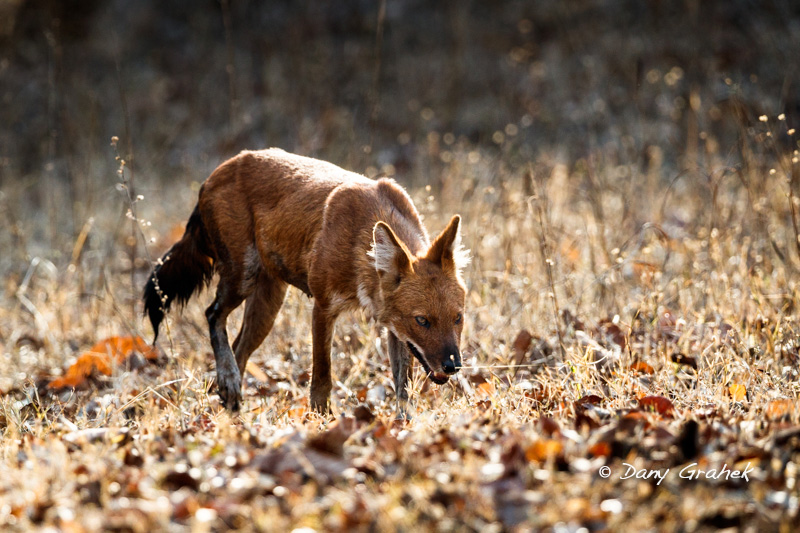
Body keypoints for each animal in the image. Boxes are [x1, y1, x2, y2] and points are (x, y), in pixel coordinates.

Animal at [144, 148, 468, 414]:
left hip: (268, 306)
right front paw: (322, 421)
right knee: (213, 315)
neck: (360, 238)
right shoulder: (323, 308)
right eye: (422, 320)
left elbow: (403, 389)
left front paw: (403, 427)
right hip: (242, 277)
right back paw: (229, 381)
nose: (453, 366)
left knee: (238, 347)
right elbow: (322, 377)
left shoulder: (394, 330)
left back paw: (230, 402)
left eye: (458, 318)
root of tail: (217, 172)